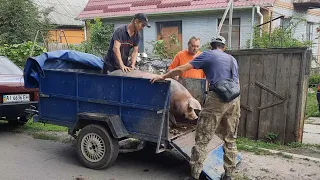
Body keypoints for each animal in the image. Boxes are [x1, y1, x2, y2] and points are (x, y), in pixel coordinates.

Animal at [23, 50, 240, 179]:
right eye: (190, 109)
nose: (195, 118)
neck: (176, 98)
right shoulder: (169, 109)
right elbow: (169, 118)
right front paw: (173, 126)